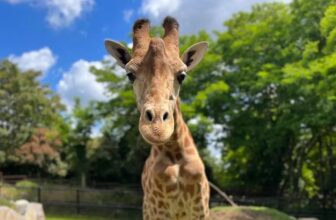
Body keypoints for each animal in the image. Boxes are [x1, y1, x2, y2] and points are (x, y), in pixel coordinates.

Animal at [105, 16, 210, 219]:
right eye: (130, 75)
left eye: (182, 75)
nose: (157, 128)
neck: (175, 153)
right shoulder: (158, 211)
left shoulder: (200, 211)